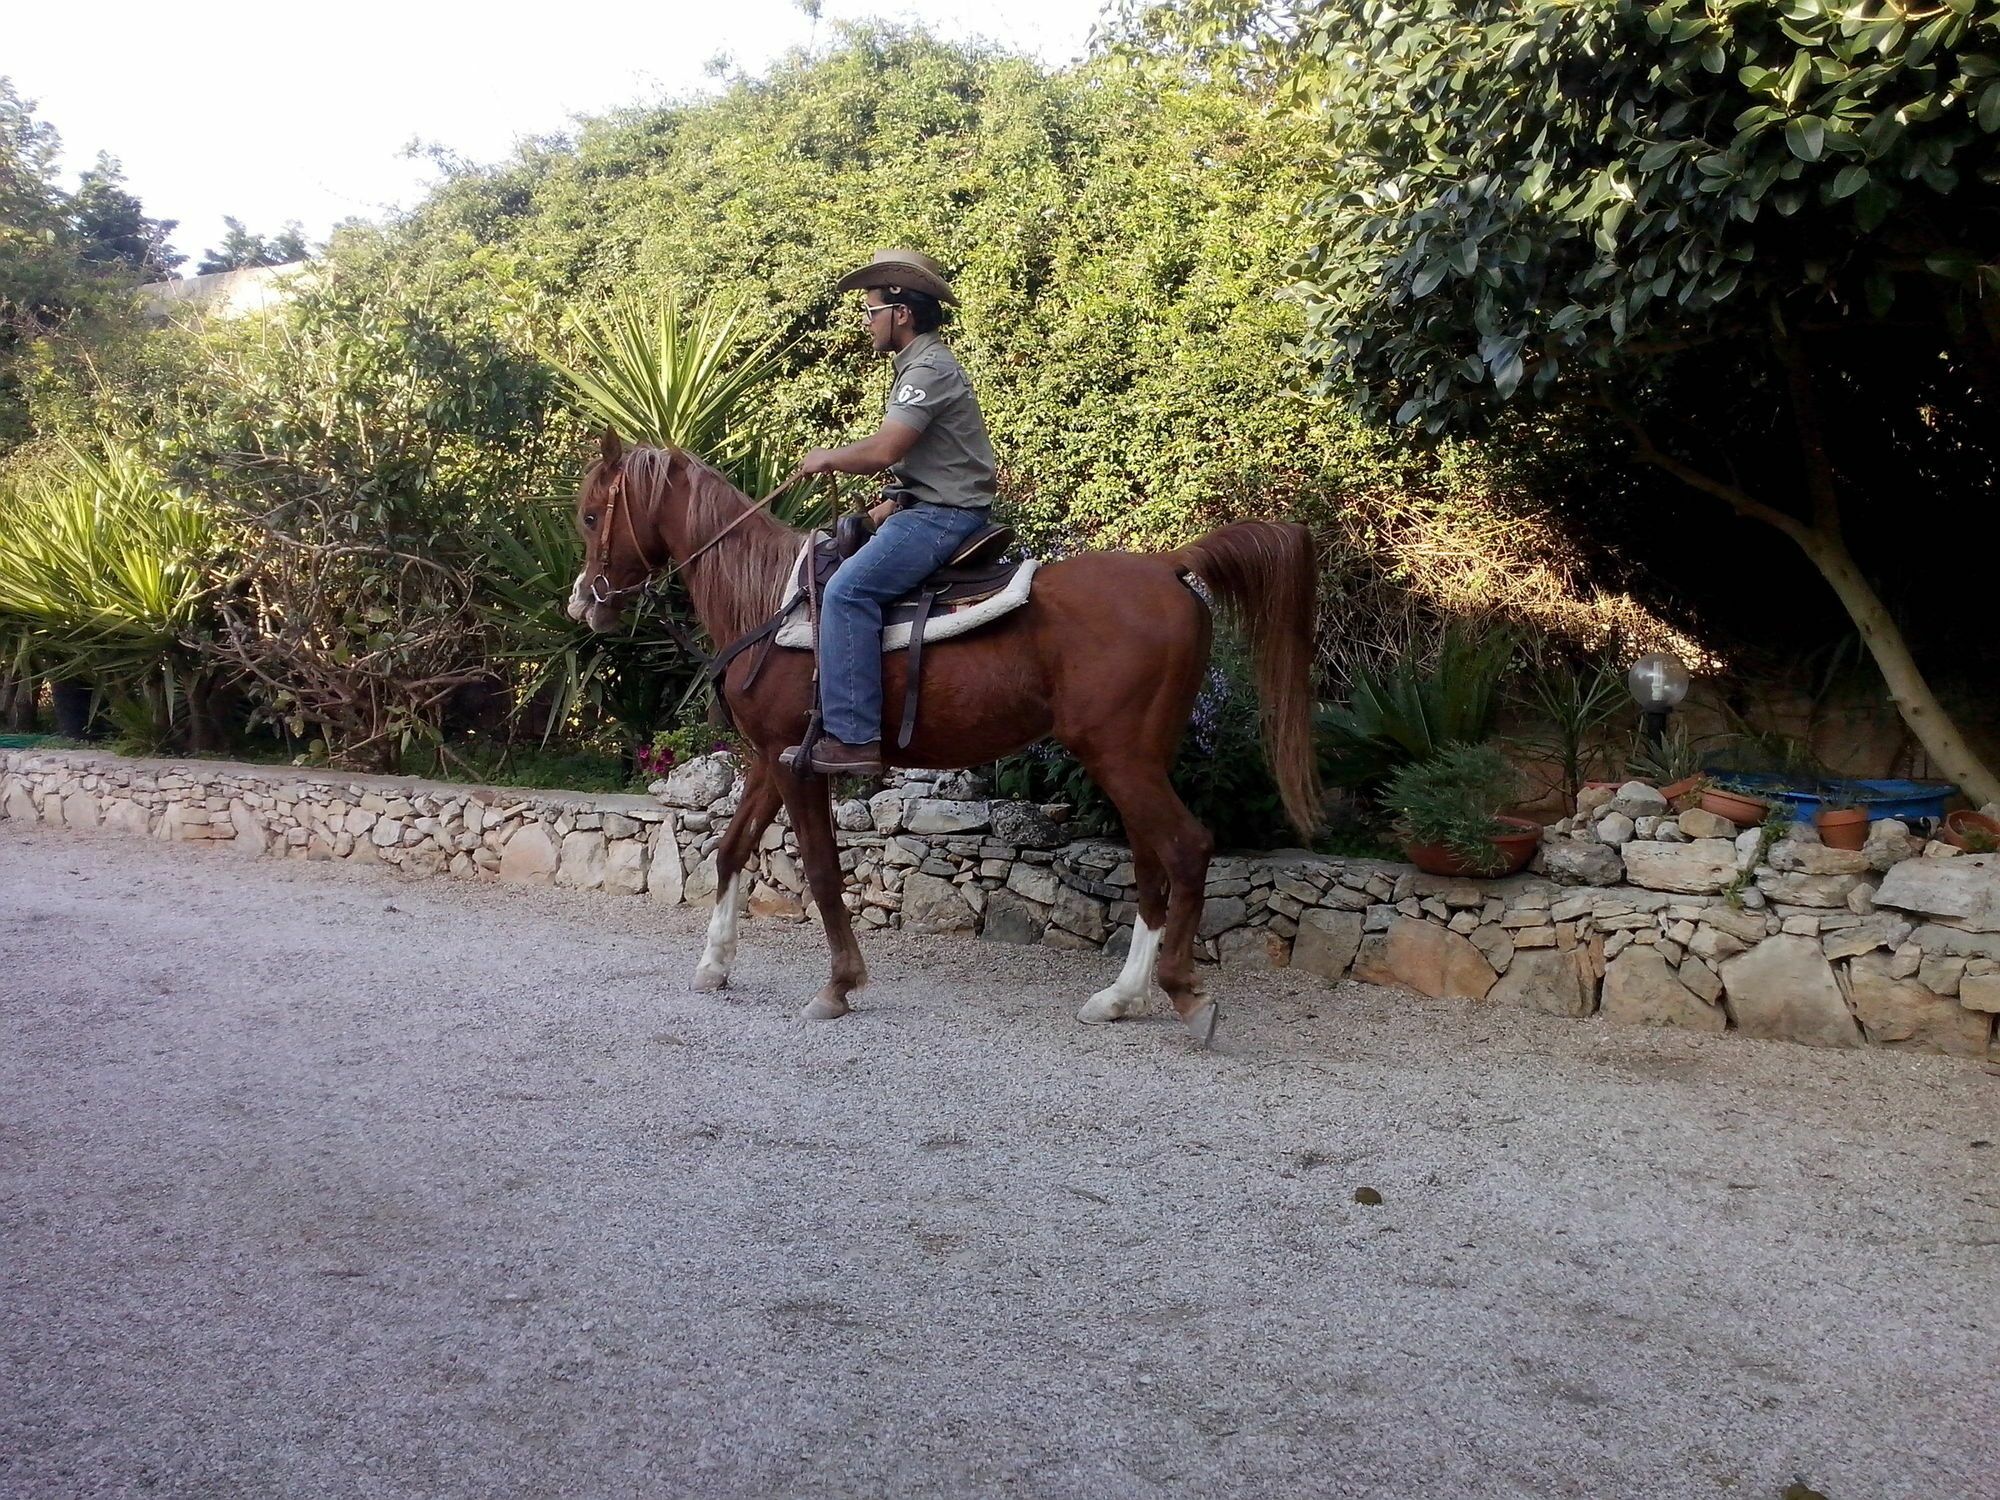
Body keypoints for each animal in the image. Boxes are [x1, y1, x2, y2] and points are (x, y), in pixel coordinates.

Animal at [564, 434, 1320, 1048]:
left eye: (594, 515)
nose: (582, 602)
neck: (771, 606)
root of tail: (1171, 564)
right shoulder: (769, 759)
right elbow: (731, 849)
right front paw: (714, 964)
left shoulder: (802, 766)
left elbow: (822, 870)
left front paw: (838, 985)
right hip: (1136, 759)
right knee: (1151, 864)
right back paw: (1119, 998)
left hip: (1121, 757)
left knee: (1185, 849)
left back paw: (1186, 996)